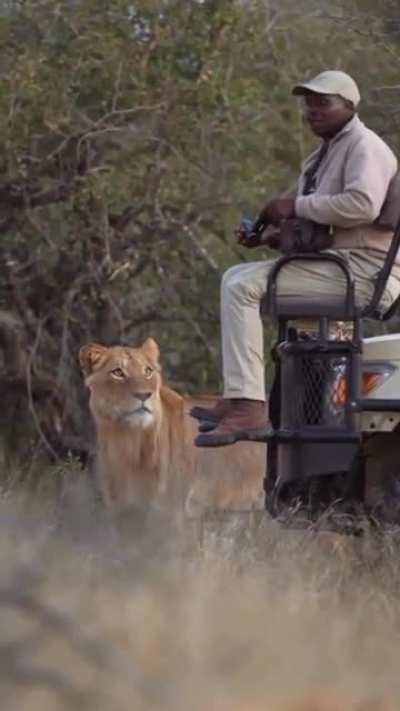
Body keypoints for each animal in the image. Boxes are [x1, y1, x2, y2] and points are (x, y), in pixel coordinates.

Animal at [79, 337, 265, 516]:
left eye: (148, 371)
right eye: (117, 372)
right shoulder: (121, 513)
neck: (127, 441)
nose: (144, 395)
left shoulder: (172, 513)